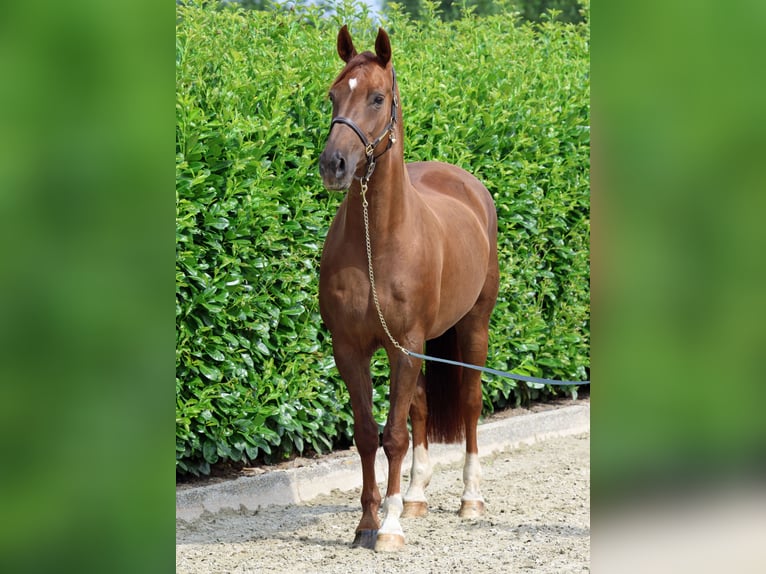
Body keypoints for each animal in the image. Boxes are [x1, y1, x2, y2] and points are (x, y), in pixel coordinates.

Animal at [320, 27, 504, 552]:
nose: (334, 165)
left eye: (378, 98)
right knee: (420, 408)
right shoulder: (352, 349)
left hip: (473, 328)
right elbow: (369, 433)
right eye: (333, 95)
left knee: (470, 403)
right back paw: (417, 496)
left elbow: (394, 435)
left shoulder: (405, 345)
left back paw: (470, 500)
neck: (376, 242)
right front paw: (367, 523)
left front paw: (390, 528)